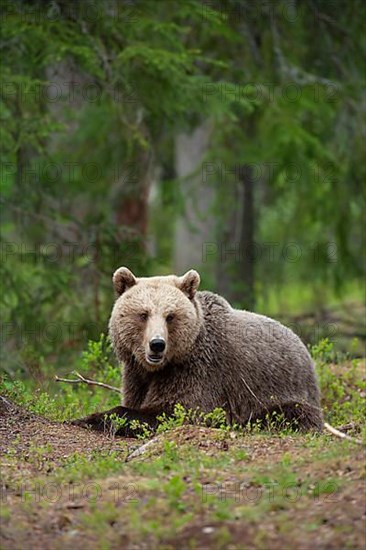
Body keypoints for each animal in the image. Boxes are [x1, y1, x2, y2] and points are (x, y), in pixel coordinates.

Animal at [73, 270, 324, 438]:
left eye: (170, 316)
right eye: (143, 314)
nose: (157, 345)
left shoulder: (199, 371)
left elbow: (176, 411)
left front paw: (88, 418)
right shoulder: (137, 374)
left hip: (284, 393)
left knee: (285, 414)